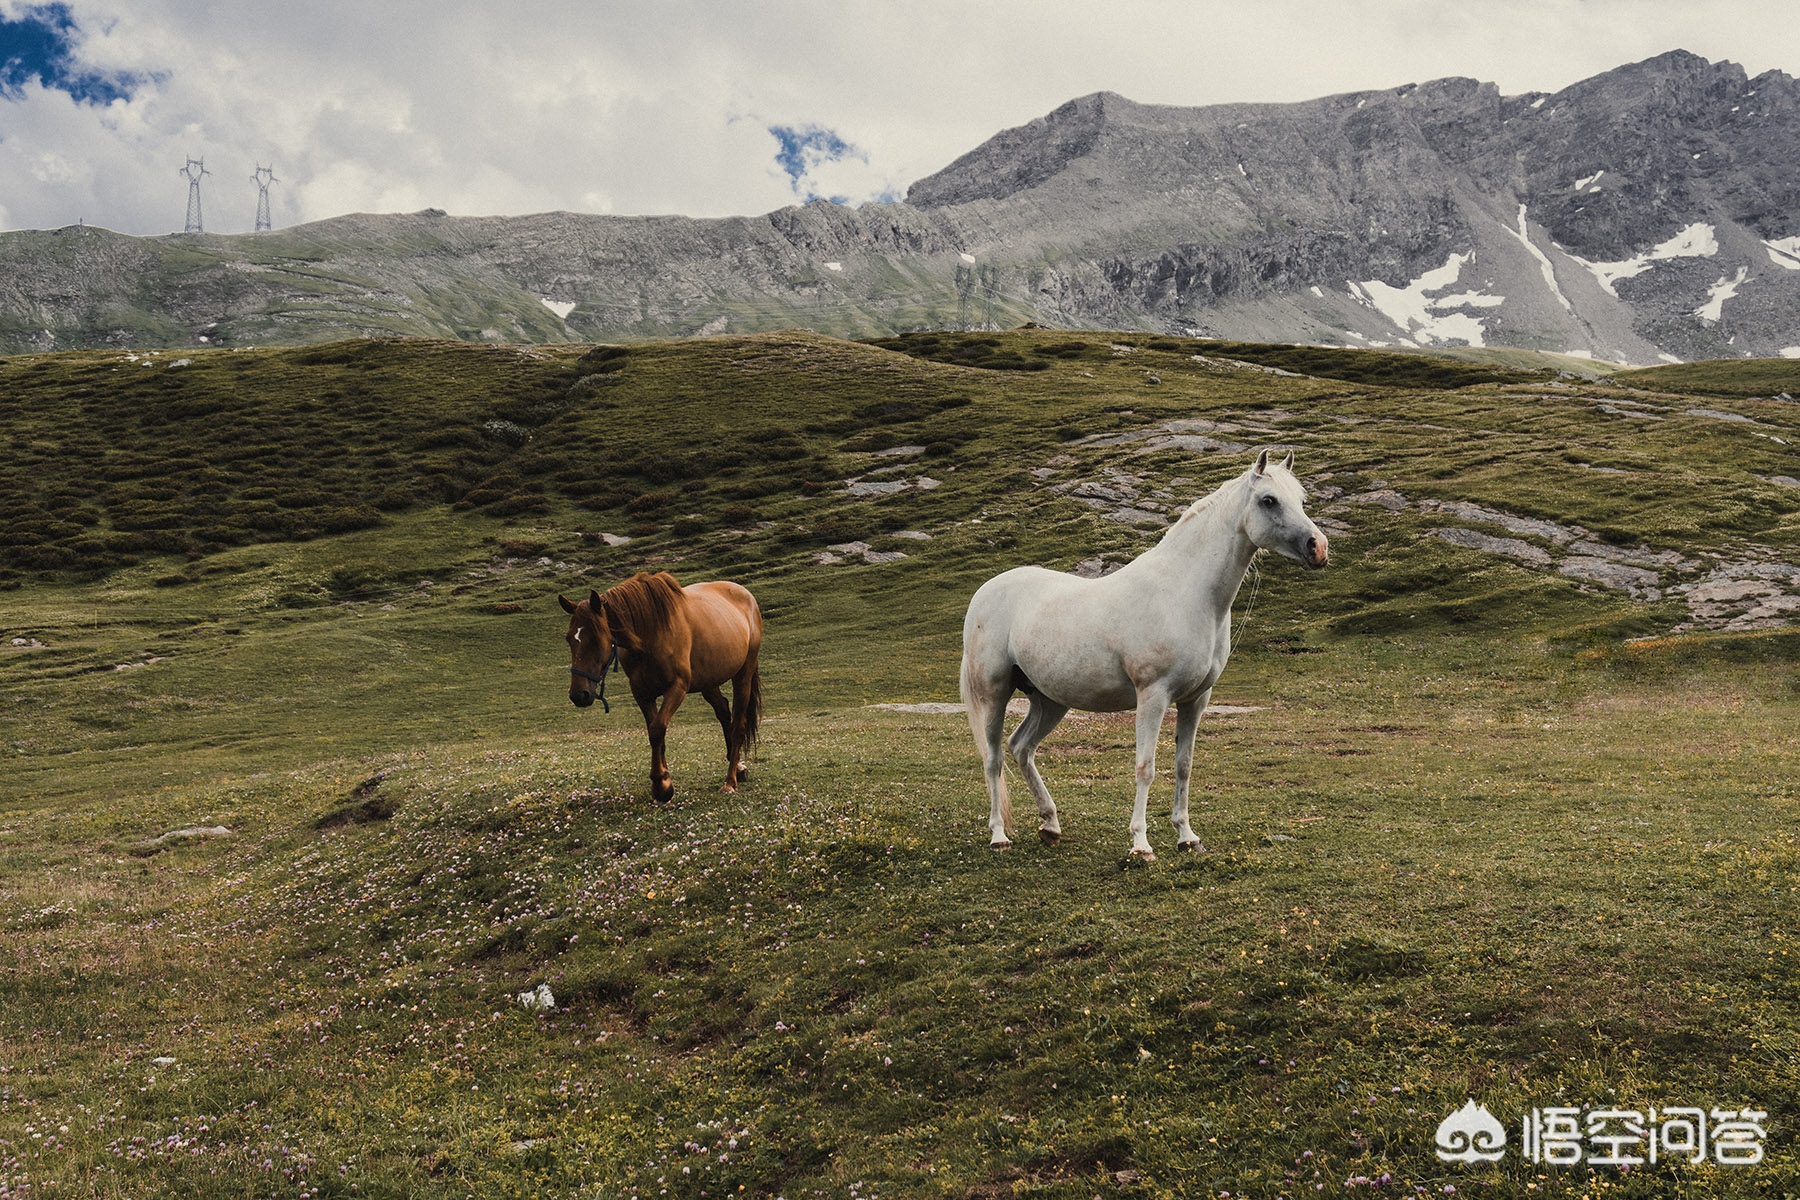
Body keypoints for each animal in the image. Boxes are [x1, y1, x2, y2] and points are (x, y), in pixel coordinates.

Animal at [561, 572, 759, 798]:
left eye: (595, 638)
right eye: (569, 639)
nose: (579, 694)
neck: (651, 635)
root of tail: (745, 595)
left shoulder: (677, 687)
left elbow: (657, 729)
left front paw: (661, 785)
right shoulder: (641, 692)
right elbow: (654, 731)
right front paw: (664, 779)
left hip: (743, 675)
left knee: (738, 724)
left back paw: (730, 781)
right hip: (708, 682)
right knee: (724, 711)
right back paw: (739, 768)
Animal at [964, 447, 1332, 852]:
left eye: (1301, 500)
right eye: (1269, 500)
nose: (1319, 548)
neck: (1186, 593)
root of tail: (985, 592)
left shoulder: (1196, 699)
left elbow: (1183, 765)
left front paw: (1186, 836)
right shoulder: (1153, 695)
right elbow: (1146, 766)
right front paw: (1141, 843)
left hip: (1049, 700)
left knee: (1022, 748)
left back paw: (1051, 824)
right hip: (995, 692)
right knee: (994, 758)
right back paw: (999, 835)